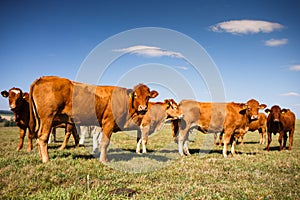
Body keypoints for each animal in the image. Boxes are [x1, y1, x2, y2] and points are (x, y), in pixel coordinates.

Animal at [29, 76, 158, 163]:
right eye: (135, 95)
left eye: (148, 97)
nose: (143, 108)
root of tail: (42, 78)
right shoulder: (108, 123)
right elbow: (105, 142)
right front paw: (104, 160)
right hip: (48, 118)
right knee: (42, 138)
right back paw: (46, 159)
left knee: (38, 137)